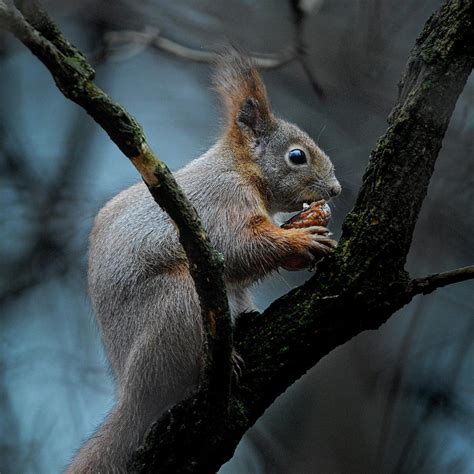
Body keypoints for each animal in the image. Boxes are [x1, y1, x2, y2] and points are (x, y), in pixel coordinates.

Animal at [66, 52, 340, 474]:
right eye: (297, 156)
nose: (336, 189)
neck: (241, 169)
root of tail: (134, 394)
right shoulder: (220, 203)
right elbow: (240, 247)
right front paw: (300, 240)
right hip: (179, 303)